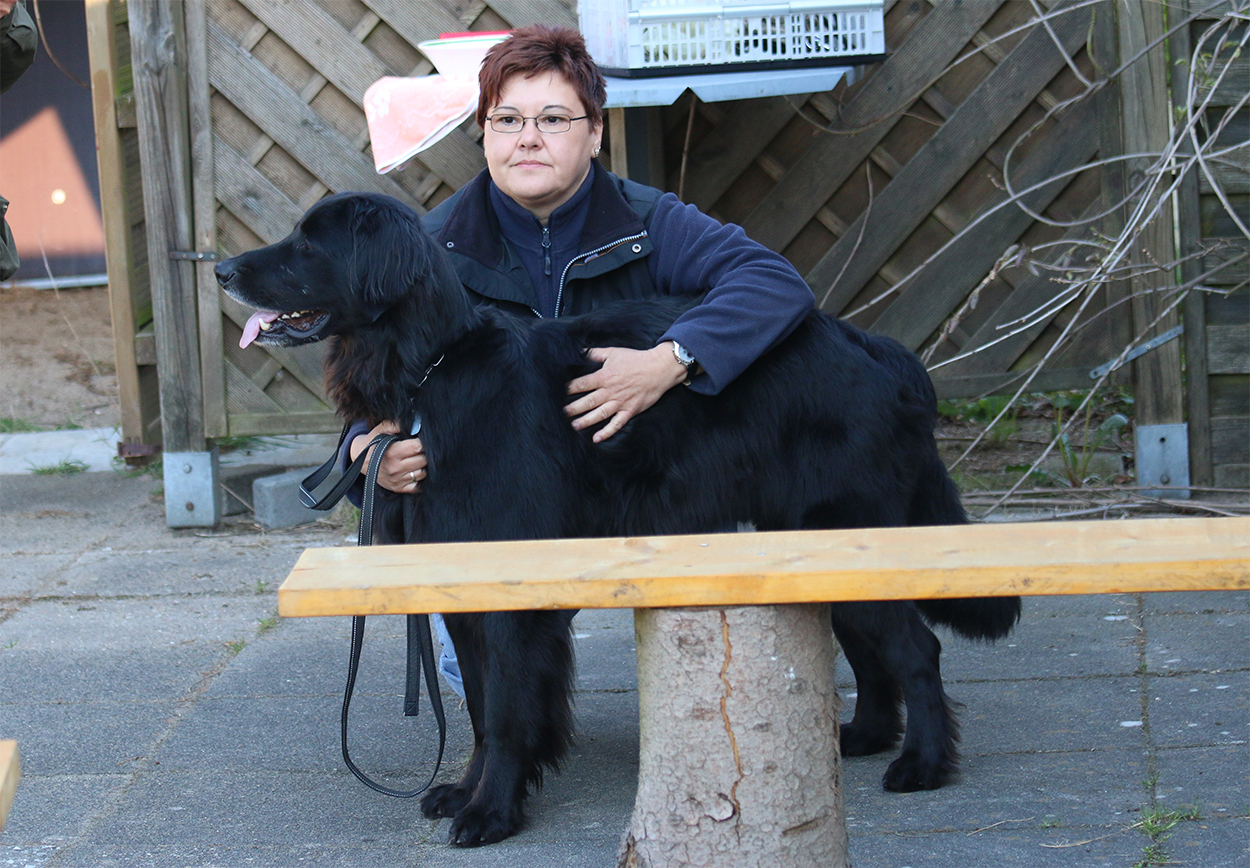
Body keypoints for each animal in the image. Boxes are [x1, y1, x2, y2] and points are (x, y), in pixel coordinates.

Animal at [216, 191, 1021, 846]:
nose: (220, 267)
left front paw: (493, 811)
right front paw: (470, 790)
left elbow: (503, 708)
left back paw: (922, 762)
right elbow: (476, 704)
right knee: (869, 643)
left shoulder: (511, 590)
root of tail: (881, 349)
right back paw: (865, 736)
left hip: (840, 529)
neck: (432, 371)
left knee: (917, 648)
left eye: (310, 245)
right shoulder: (462, 586)